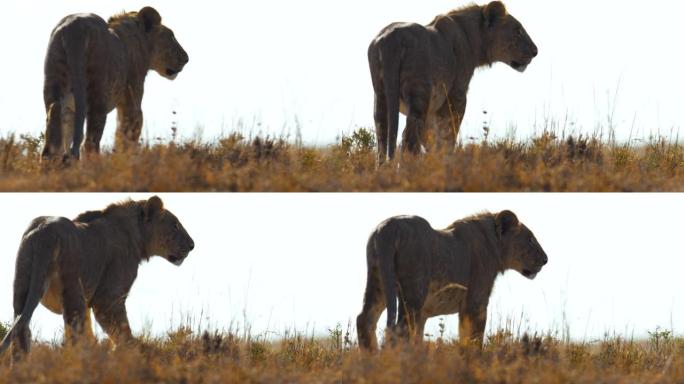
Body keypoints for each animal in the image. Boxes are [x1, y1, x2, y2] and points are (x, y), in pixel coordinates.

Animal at [0, 196, 195, 362]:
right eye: (175, 225)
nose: (193, 245)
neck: (136, 235)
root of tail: (45, 233)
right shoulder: (108, 298)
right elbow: (121, 331)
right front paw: (132, 354)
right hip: (72, 285)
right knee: (74, 333)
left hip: (23, 283)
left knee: (22, 327)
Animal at [41, 6, 188, 162]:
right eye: (171, 36)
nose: (186, 58)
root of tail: (74, 28)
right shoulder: (132, 98)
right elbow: (128, 132)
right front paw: (124, 159)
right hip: (98, 94)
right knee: (90, 141)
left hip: (54, 83)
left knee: (55, 116)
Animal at [356, 210, 548, 352]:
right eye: (530, 239)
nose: (546, 259)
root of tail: (387, 228)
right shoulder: (475, 302)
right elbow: (474, 337)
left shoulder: (429, 313)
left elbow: (422, 336)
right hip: (415, 290)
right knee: (400, 328)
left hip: (378, 281)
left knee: (364, 319)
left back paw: (370, 358)